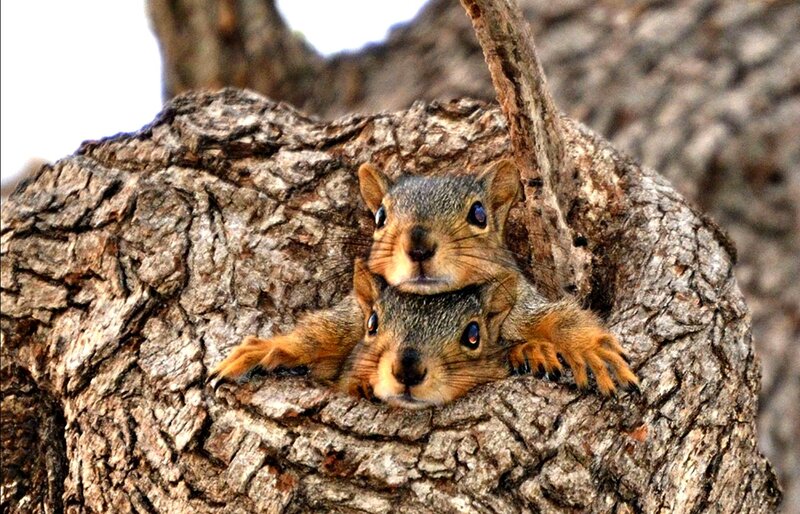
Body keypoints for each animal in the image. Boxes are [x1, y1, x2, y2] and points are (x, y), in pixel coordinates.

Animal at [212, 159, 638, 398]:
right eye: (380, 216)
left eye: (479, 214)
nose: (417, 244)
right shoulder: (354, 314)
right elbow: (321, 331)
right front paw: (267, 349)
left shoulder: (520, 298)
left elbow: (558, 318)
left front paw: (585, 349)